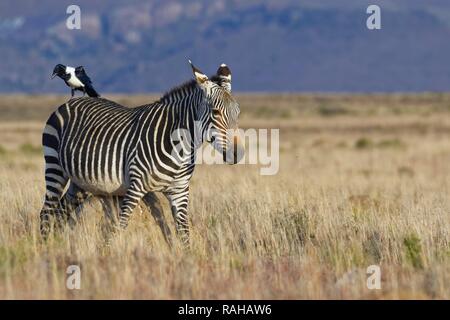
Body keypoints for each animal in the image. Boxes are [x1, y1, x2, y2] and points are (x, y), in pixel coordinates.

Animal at [39, 60, 244, 245]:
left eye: (238, 113)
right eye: (215, 112)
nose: (237, 154)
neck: (180, 149)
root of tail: (73, 101)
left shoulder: (179, 191)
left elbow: (184, 232)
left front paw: (187, 260)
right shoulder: (135, 188)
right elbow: (119, 227)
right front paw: (108, 253)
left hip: (81, 183)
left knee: (61, 211)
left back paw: (57, 243)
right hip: (55, 167)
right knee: (47, 211)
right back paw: (45, 248)